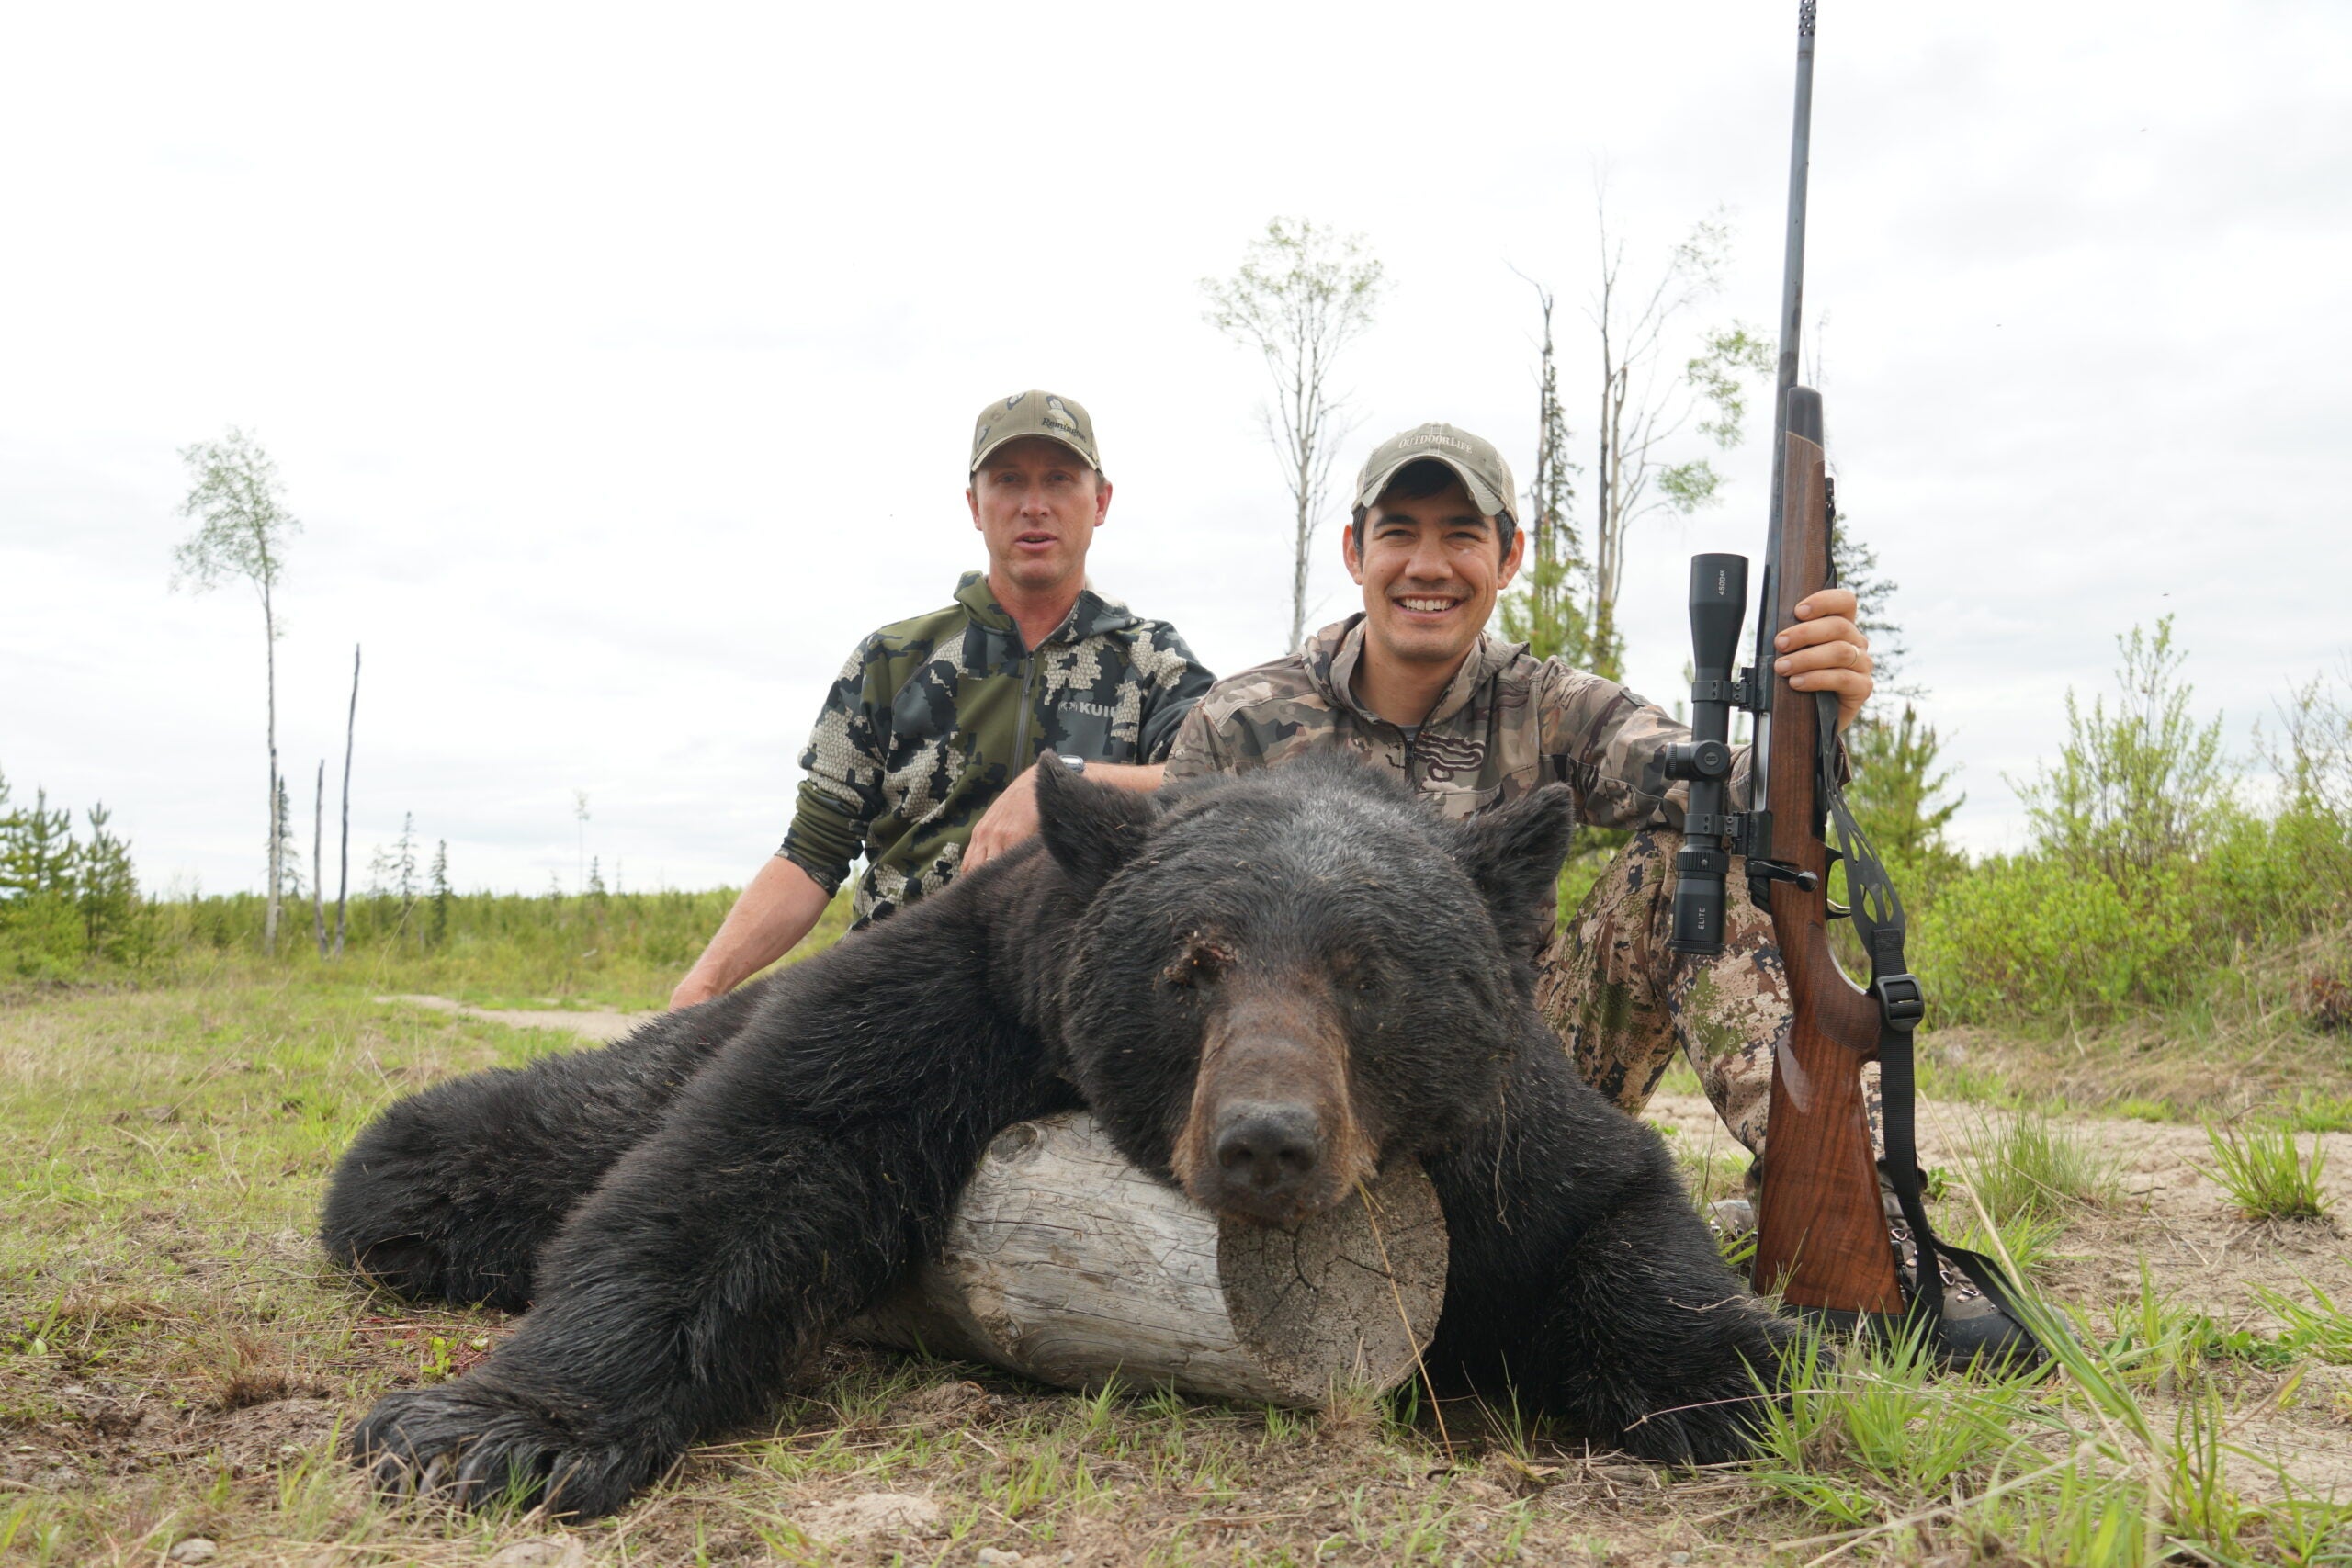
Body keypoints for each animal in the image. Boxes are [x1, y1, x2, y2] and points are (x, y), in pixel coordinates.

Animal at [324, 753, 1793, 1518]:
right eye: (1191, 964)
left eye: (1367, 971)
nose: (1268, 1141)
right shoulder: (953, 998)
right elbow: (746, 1157)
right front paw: (497, 1429)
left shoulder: (1493, 1124)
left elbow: (1606, 1205)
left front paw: (1740, 1370)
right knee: (476, 1149)